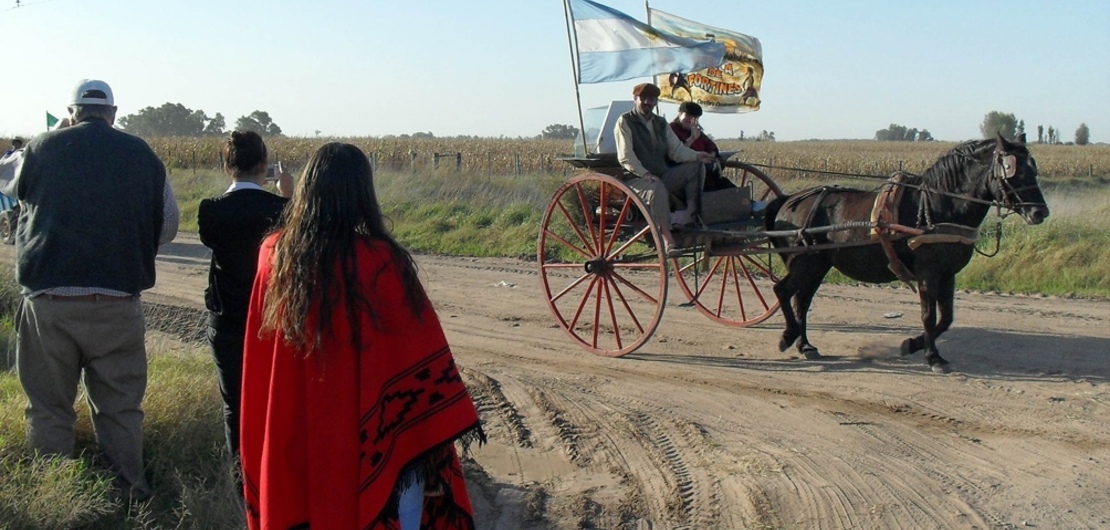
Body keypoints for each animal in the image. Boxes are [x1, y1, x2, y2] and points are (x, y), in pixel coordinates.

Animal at [763, 133, 1047, 371]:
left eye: (1033, 169)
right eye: (1012, 170)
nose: (1040, 212)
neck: (937, 206)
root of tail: (789, 200)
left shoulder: (947, 274)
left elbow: (946, 318)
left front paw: (912, 344)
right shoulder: (928, 273)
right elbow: (929, 316)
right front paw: (933, 357)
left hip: (818, 265)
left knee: (801, 300)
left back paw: (805, 345)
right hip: (805, 262)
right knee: (783, 291)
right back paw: (789, 335)